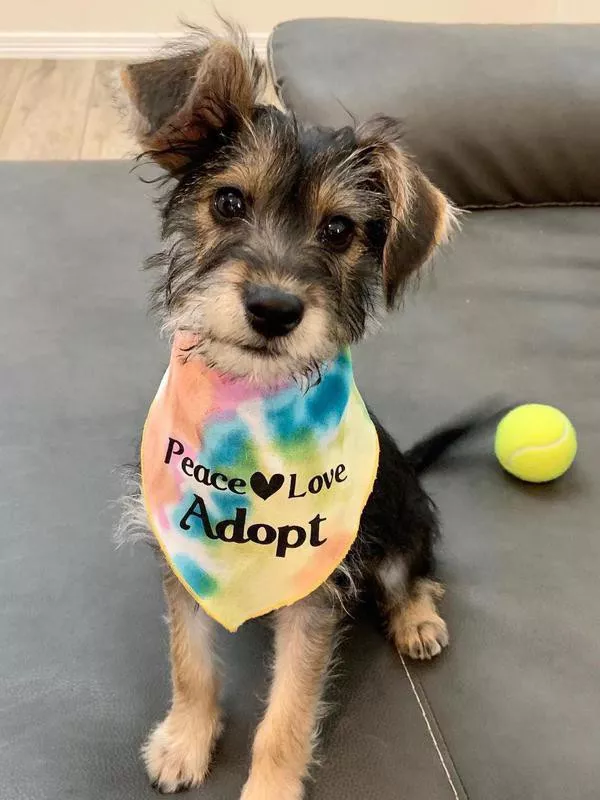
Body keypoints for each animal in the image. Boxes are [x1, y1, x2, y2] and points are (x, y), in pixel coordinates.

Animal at [118, 25, 460, 800]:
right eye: (229, 203)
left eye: (338, 231)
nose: (274, 309)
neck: (250, 410)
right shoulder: (180, 558)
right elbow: (189, 663)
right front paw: (185, 739)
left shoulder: (318, 597)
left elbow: (289, 710)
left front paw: (270, 785)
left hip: (403, 518)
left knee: (413, 572)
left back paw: (417, 618)